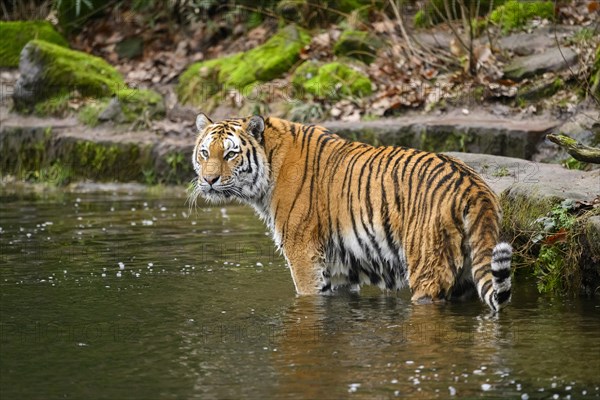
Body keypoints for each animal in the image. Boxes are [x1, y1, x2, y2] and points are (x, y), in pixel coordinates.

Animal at [190, 114, 512, 310]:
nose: (209, 180)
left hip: (427, 267)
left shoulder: (302, 252)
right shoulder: (339, 267)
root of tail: (473, 185)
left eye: (230, 154)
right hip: (465, 277)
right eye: (205, 153)